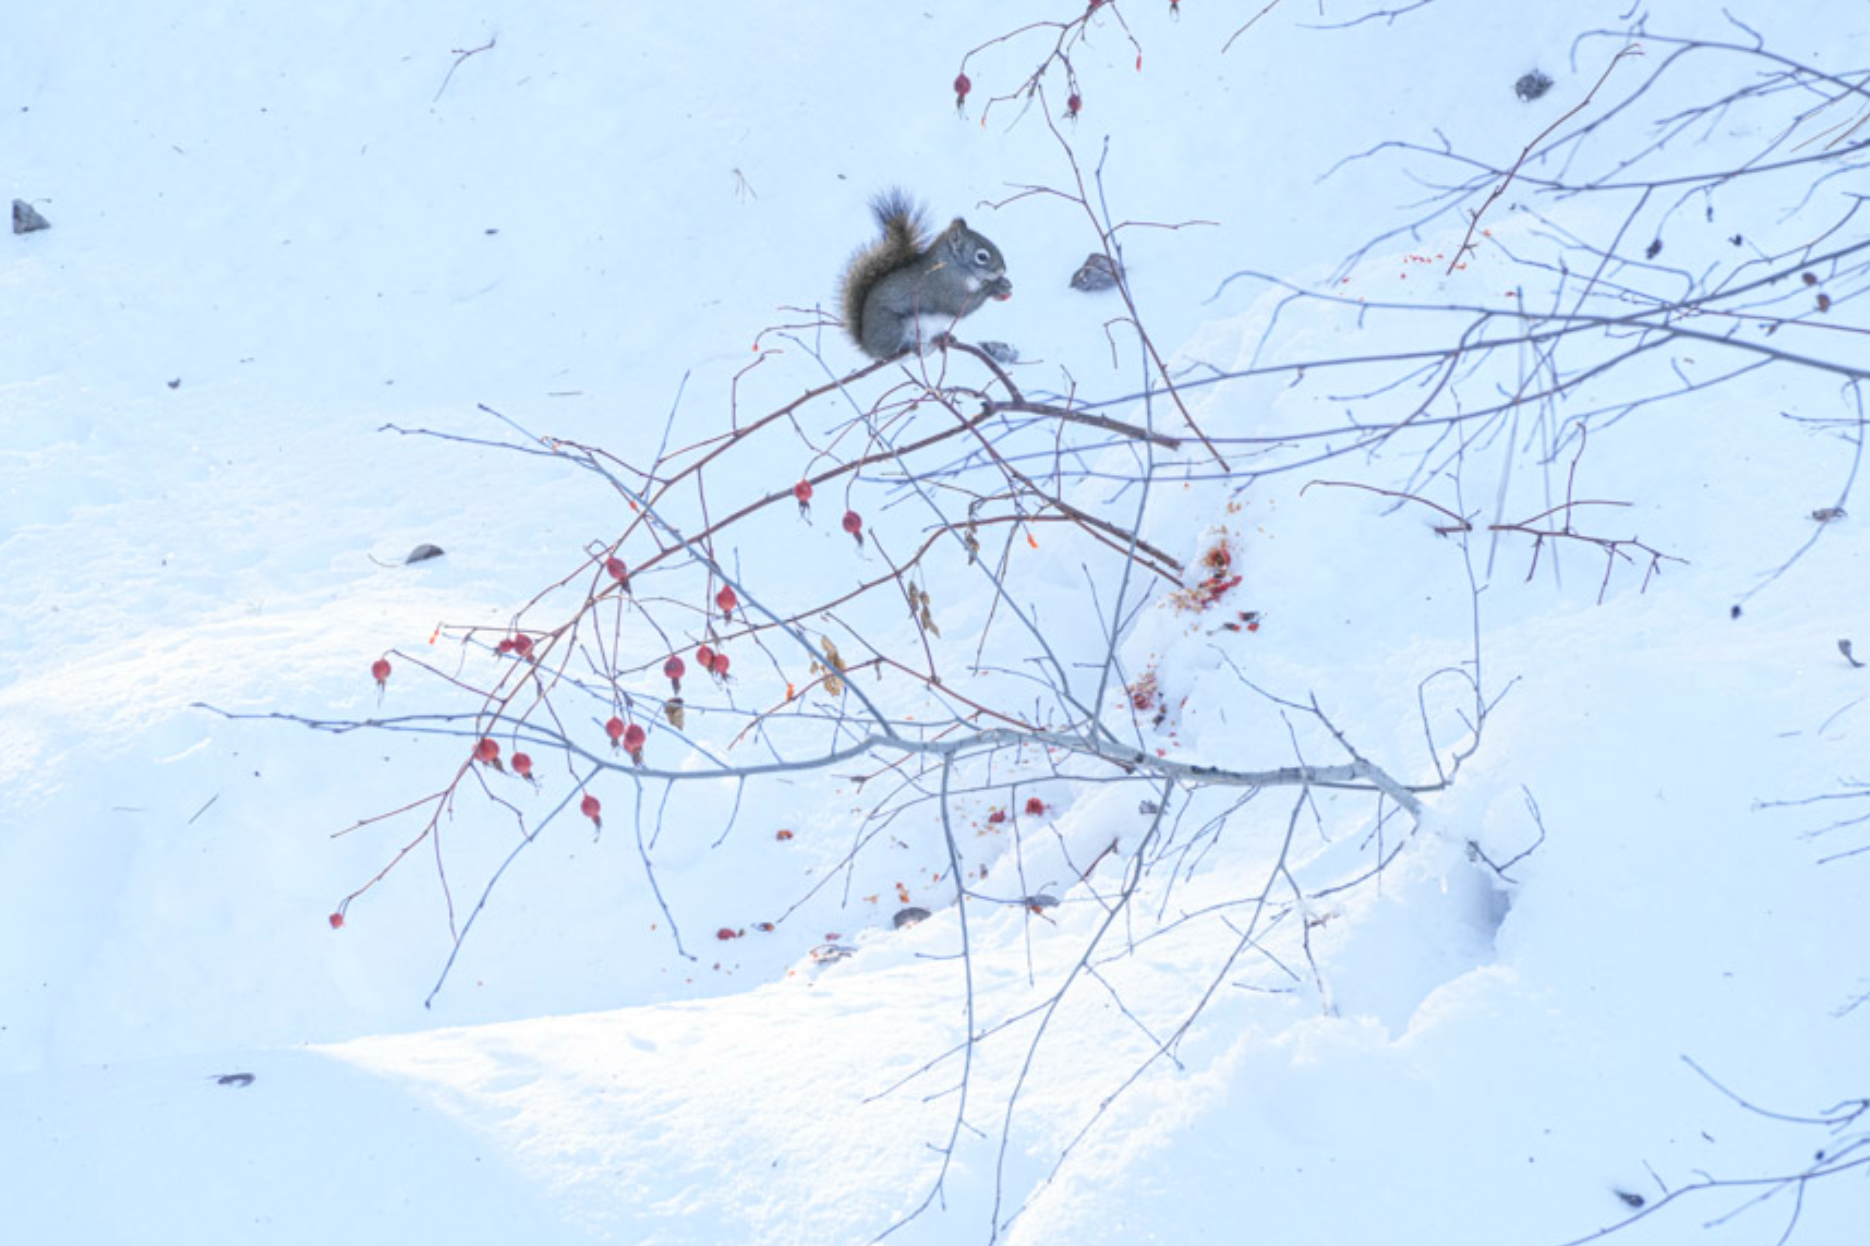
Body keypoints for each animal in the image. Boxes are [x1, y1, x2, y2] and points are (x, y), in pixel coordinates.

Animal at [839, 190, 1012, 360]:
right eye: (982, 256)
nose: (1002, 270)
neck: (954, 267)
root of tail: (868, 348)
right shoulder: (945, 288)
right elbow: (959, 306)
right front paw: (995, 287)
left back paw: (942, 339)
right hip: (890, 328)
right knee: (891, 350)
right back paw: (909, 346)